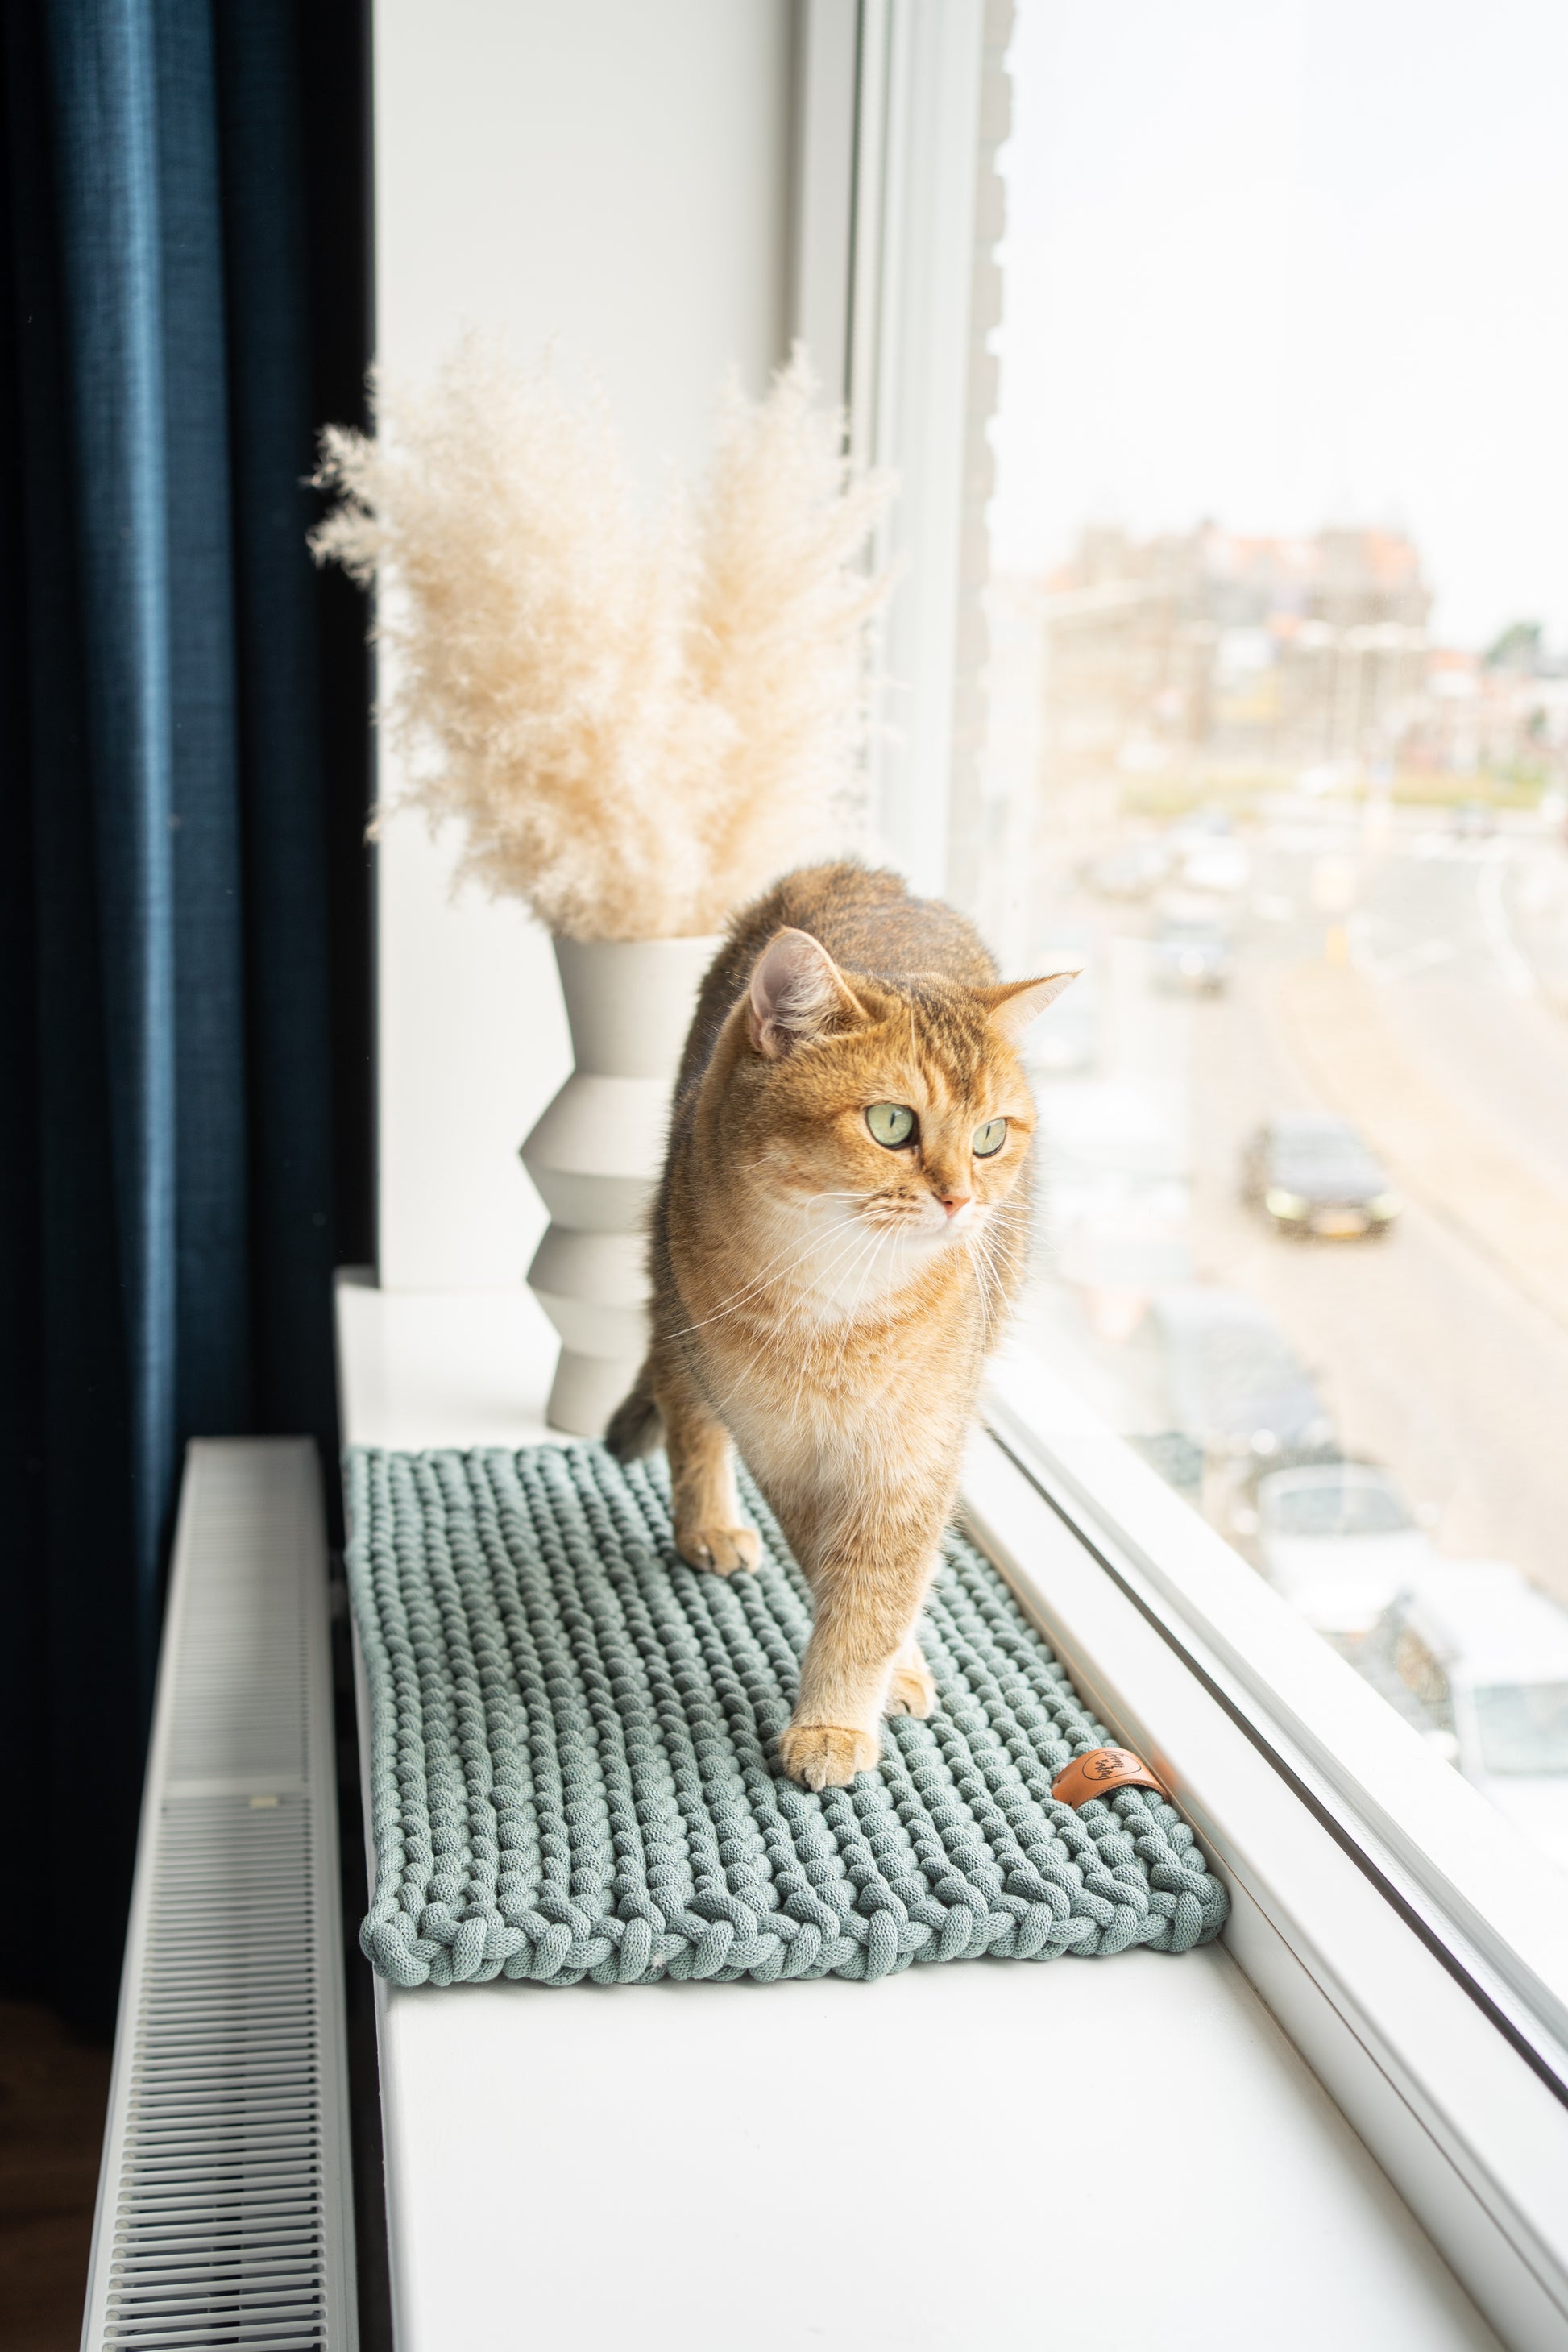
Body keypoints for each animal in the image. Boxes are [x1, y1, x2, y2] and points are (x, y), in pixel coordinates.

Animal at [611, 870, 1081, 1797]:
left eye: (989, 1137)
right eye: (892, 1124)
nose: (959, 1199)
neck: (836, 1307)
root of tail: (861, 870)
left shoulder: (910, 1457)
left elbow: (873, 1596)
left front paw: (853, 1702)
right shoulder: (787, 1445)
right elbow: (834, 1574)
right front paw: (844, 1709)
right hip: (673, 1297)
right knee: (687, 1416)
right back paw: (706, 1524)